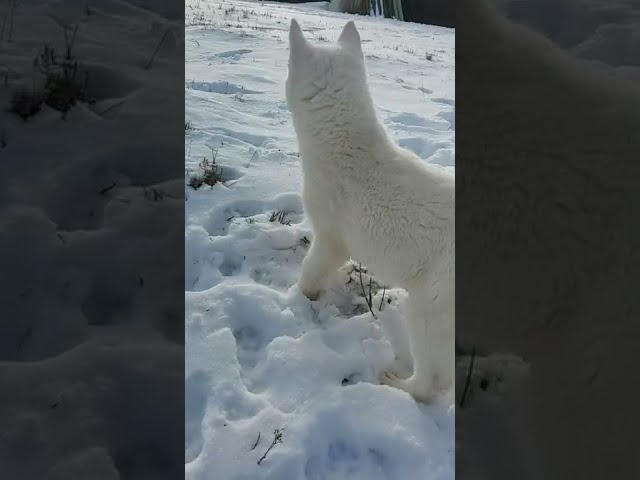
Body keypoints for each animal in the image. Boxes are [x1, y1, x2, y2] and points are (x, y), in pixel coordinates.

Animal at [284, 17, 456, 402]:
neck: (345, 143)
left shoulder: (331, 233)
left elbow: (314, 266)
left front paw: (301, 296)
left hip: (432, 303)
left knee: (435, 378)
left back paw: (398, 385)